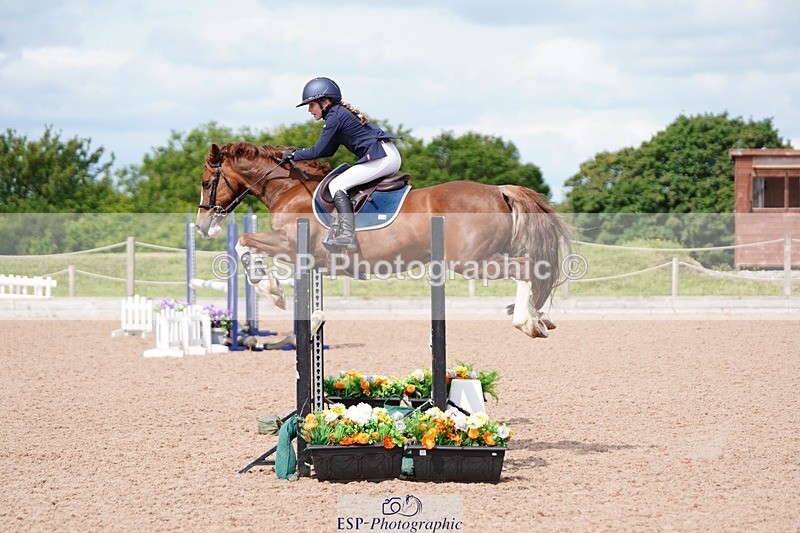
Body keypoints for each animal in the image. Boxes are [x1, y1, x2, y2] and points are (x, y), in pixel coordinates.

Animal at [195, 142, 571, 339]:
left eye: (205, 182)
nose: (202, 226)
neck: (288, 188)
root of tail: (498, 190)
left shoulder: (288, 244)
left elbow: (244, 242)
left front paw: (271, 290)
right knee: (535, 270)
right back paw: (539, 316)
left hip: (470, 262)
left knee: (525, 269)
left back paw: (526, 321)